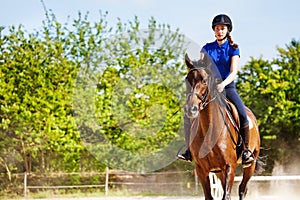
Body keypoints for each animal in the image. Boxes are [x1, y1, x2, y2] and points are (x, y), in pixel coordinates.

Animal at [183, 53, 262, 200]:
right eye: (187, 79)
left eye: (204, 80)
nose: (191, 109)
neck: (209, 132)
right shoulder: (201, 169)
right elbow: (210, 196)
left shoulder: (229, 167)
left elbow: (227, 195)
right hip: (219, 171)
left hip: (250, 165)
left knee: (242, 189)